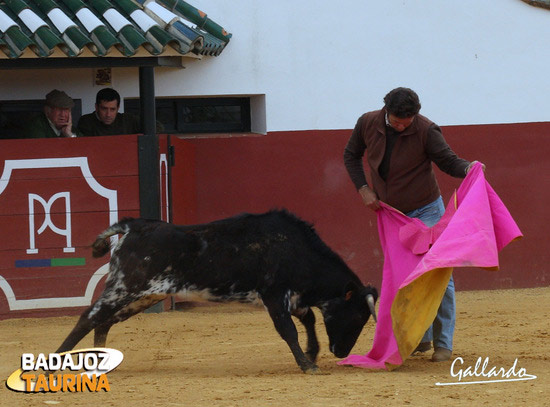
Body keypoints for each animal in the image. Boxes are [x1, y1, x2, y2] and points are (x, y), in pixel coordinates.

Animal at [57, 212, 380, 374]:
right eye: (356, 318)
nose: (342, 352)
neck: (296, 250)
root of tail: (134, 226)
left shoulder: (294, 297)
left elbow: (309, 319)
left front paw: (312, 355)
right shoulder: (275, 296)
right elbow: (289, 330)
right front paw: (307, 365)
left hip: (142, 296)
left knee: (104, 321)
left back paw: (102, 361)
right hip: (125, 288)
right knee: (89, 317)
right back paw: (56, 362)